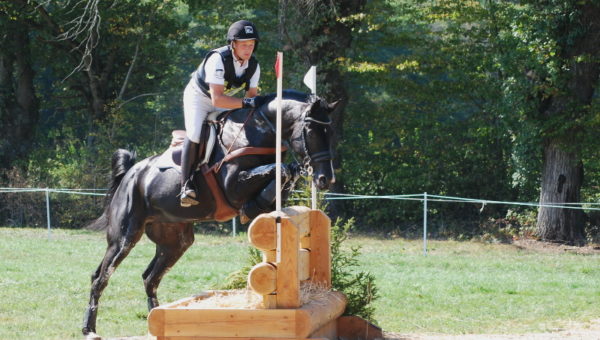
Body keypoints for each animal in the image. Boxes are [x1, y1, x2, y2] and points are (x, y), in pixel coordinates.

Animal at [82, 89, 340, 334]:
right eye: (312, 131)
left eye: (331, 133)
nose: (325, 179)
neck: (258, 130)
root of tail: (131, 173)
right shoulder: (233, 187)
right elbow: (280, 168)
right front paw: (251, 207)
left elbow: (286, 171)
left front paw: (262, 203)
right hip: (124, 237)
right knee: (100, 277)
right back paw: (89, 328)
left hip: (175, 241)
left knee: (150, 278)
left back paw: (154, 318)